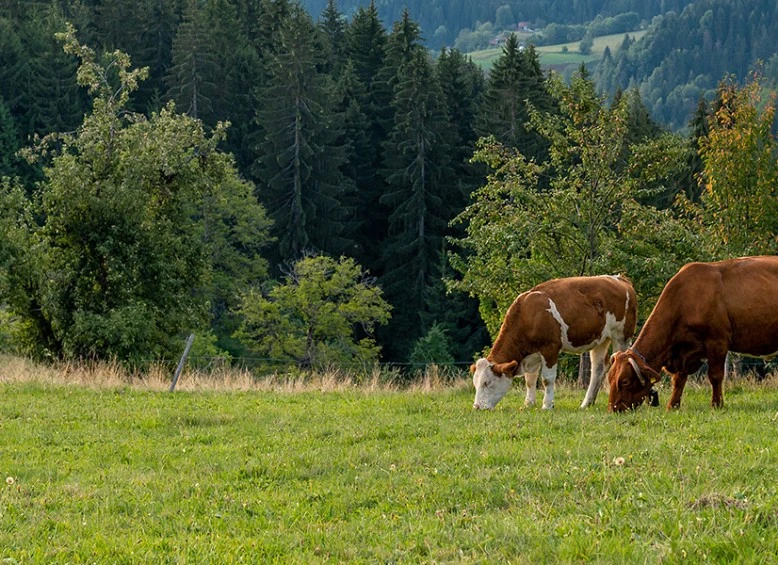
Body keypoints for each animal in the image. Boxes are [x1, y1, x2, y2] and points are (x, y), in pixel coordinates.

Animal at [470, 274, 632, 410]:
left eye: (487, 382)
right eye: (475, 383)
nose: (477, 407)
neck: (528, 315)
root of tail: (620, 278)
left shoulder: (550, 348)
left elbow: (547, 379)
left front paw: (547, 405)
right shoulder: (532, 353)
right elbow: (530, 379)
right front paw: (529, 404)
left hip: (621, 337)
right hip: (601, 340)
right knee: (598, 369)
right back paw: (586, 403)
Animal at [608, 254, 776, 410]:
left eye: (624, 381)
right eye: (610, 378)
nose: (613, 409)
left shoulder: (717, 342)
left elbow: (715, 375)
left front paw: (716, 404)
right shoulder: (684, 351)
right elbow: (679, 379)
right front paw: (672, 405)